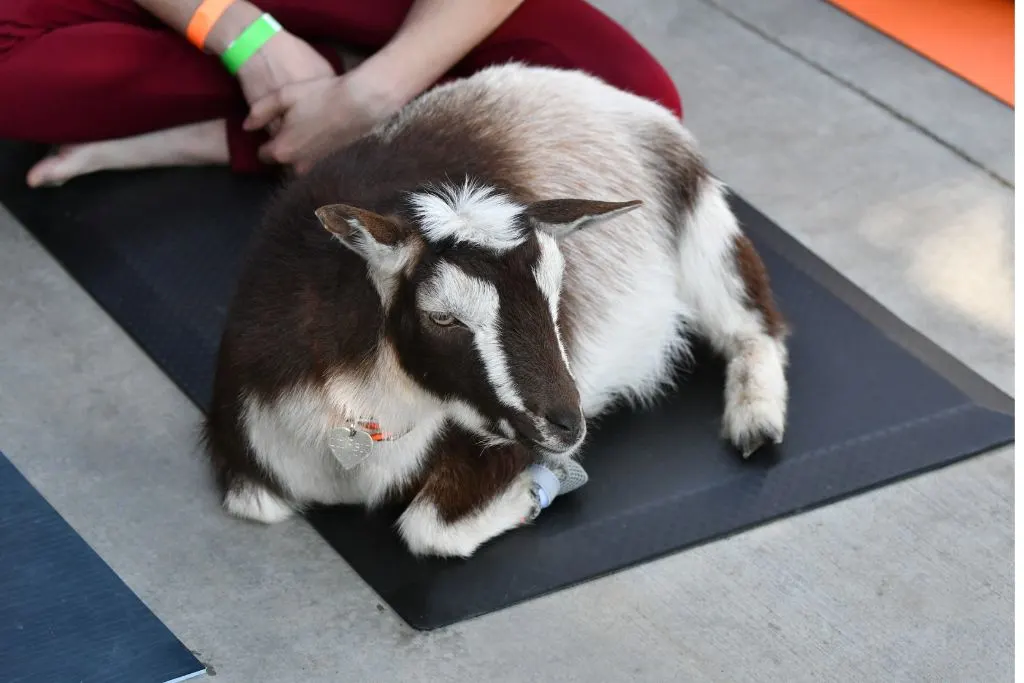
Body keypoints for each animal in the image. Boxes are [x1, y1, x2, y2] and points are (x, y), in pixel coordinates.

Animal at [201, 61, 790, 557]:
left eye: (556, 293)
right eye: (442, 317)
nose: (567, 426)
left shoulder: (500, 442)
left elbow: (427, 528)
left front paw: (537, 490)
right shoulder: (247, 452)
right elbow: (258, 505)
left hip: (702, 224)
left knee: (755, 325)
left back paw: (756, 420)